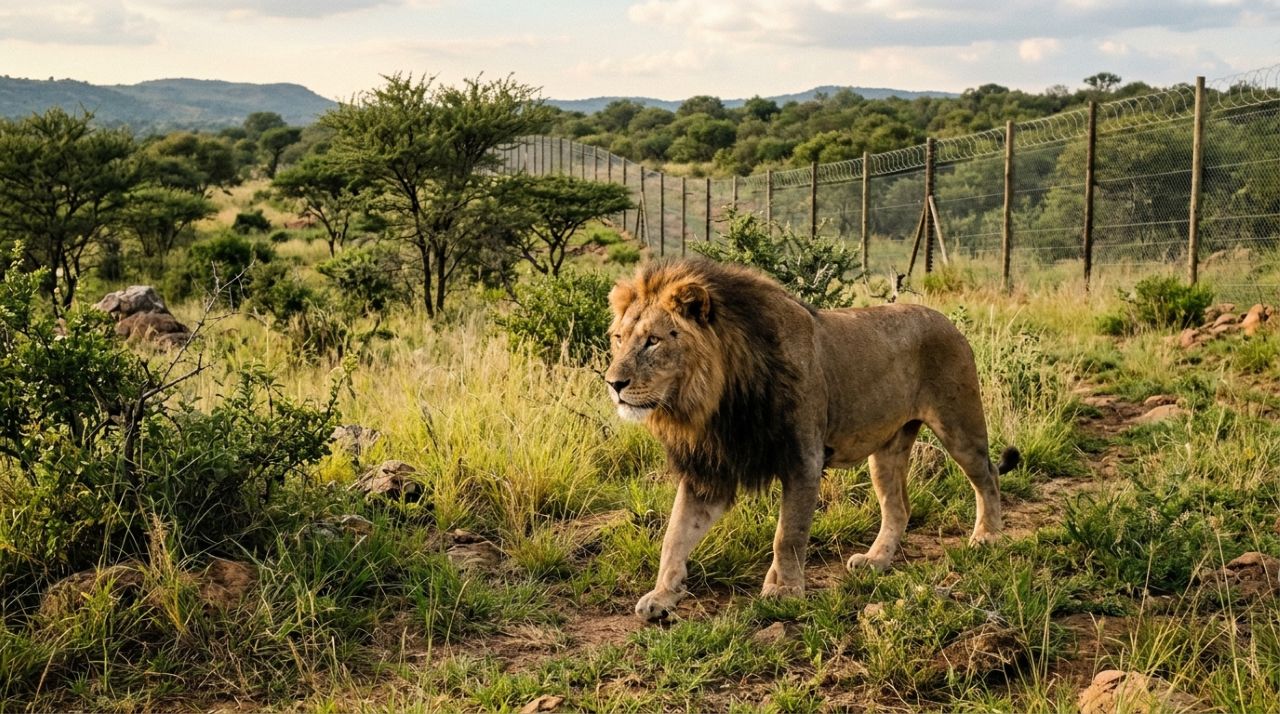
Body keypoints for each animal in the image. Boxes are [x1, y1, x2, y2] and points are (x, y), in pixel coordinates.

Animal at [604, 258, 1019, 622]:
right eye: (619, 339)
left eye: (653, 341)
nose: (613, 384)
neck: (717, 401)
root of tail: (947, 320)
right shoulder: (711, 470)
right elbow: (675, 535)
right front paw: (662, 596)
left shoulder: (803, 458)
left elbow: (788, 534)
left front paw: (784, 591)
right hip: (888, 448)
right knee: (899, 507)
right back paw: (875, 561)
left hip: (958, 424)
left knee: (987, 476)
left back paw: (987, 536)